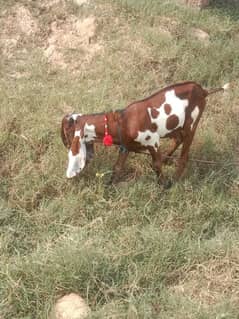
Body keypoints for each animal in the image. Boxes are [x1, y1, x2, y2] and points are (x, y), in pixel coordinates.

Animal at [61, 81, 228, 186]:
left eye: (67, 133)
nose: (66, 145)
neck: (122, 121)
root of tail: (203, 91)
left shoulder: (153, 141)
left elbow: (156, 164)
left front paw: (164, 186)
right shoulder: (126, 147)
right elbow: (117, 167)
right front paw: (108, 187)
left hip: (191, 123)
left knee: (184, 155)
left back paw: (174, 180)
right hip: (173, 127)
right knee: (177, 139)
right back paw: (167, 159)